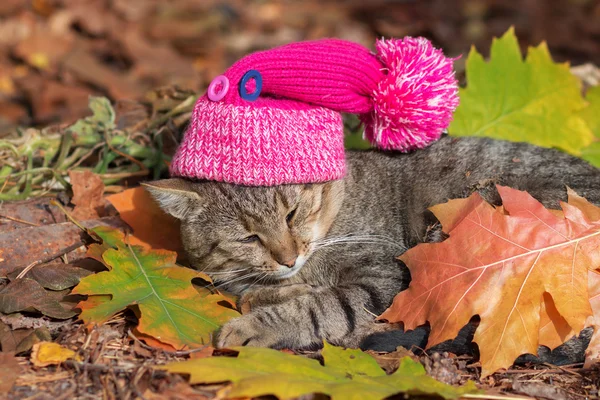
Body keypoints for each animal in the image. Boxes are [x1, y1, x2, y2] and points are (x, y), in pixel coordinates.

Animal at [145, 136, 600, 358]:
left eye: (291, 214)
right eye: (249, 237)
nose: (289, 257)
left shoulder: (384, 277)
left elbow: (322, 308)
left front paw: (256, 325)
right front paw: (270, 290)